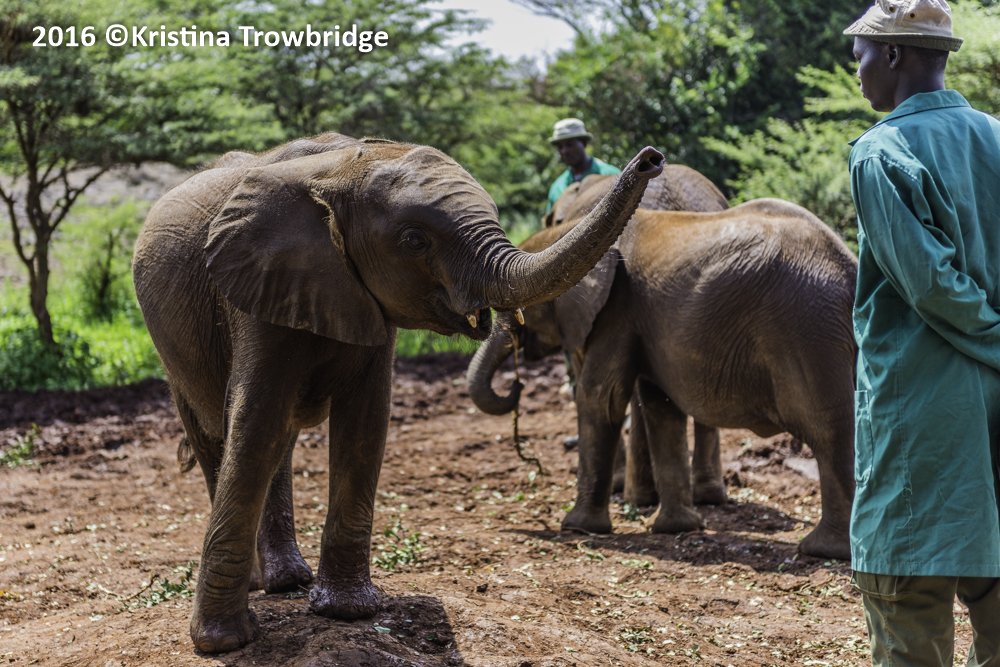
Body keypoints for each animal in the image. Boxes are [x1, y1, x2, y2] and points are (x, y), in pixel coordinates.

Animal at [132, 132, 664, 653]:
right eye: (414, 240)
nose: (651, 158)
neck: (341, 167)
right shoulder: (257, 283)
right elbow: (256, 419)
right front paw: (223, 642)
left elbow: (366, 421)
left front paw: (348, 612)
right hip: (169, 343)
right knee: (218, 434)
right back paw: (264, 585)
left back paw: (288, 582)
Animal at [468, 198, 858, 560]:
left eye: (517, 305)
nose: (517, 385)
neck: (571, 232)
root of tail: (849, 268)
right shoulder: (643, 321)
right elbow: (660, 406)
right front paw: (675, 529)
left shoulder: (618, 308)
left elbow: (601, 398)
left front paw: (577, 527)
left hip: (808, 330)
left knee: (828, 431)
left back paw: (824, 550)